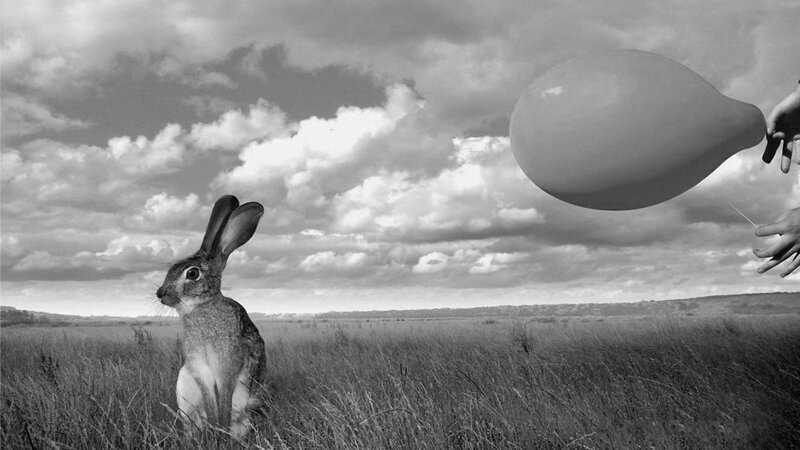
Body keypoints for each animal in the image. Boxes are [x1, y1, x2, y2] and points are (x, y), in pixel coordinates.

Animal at [156, 194, 266, 440]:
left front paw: (221, 427)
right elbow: (209, 399)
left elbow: (224, 398)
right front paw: (216, 426)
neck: (202, 307)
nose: (160, 293)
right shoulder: (200, 368)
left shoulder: (227, 365)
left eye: (192, 273)